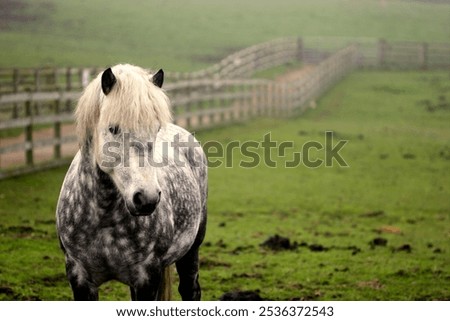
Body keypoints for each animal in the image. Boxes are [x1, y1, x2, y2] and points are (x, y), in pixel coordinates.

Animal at [55, 63, 207, 298]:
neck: (103, 217)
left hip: (191, 248)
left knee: (190, 290)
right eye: (113, 128)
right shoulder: (78, 276)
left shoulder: (146, 276)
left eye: (156, 129)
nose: (147, 198)